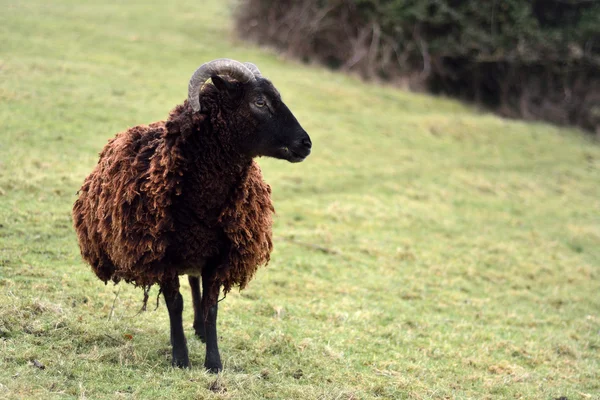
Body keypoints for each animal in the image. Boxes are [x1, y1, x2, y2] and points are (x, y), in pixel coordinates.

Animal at [72, 59, 312, 372]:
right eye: (259, 101)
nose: (306, 143)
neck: (202, 204)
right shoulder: (161, 255)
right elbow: (175, 304)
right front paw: (180, 357)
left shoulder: (218, 256)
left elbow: (212, 307)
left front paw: (214, 362)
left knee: (195, 283)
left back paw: (199, 329)